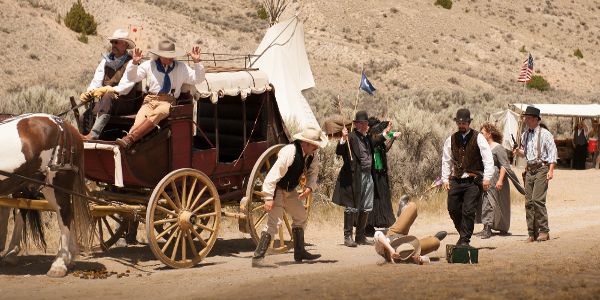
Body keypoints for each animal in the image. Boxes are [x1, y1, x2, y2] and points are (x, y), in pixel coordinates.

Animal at [0, 113, 91, 278]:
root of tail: (67, 127)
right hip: (46, 187)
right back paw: (69, 257)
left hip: (58, 183)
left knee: (65, 215)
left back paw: (59, 263)